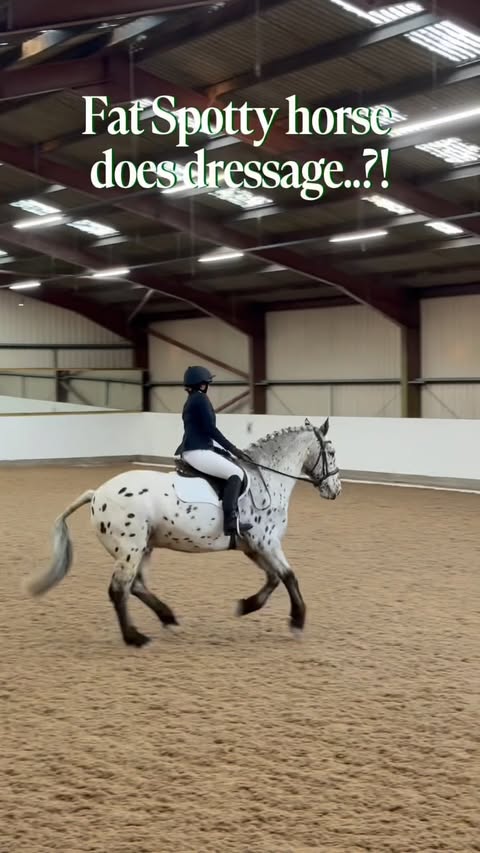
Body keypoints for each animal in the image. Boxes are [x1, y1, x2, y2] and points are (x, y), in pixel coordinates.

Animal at [24, 418, 341, 646]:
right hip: (129, 548)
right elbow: (289, 577)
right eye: (332, 452)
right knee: (119, 589)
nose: (335, 490)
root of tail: (96, 494)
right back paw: (135, 638)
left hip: (143, 547)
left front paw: (245, 606)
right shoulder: (267, 542)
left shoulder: (254, 546)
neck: (267, 478)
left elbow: (274, 578)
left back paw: (169, 619)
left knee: (136, 586)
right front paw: (297, 622)